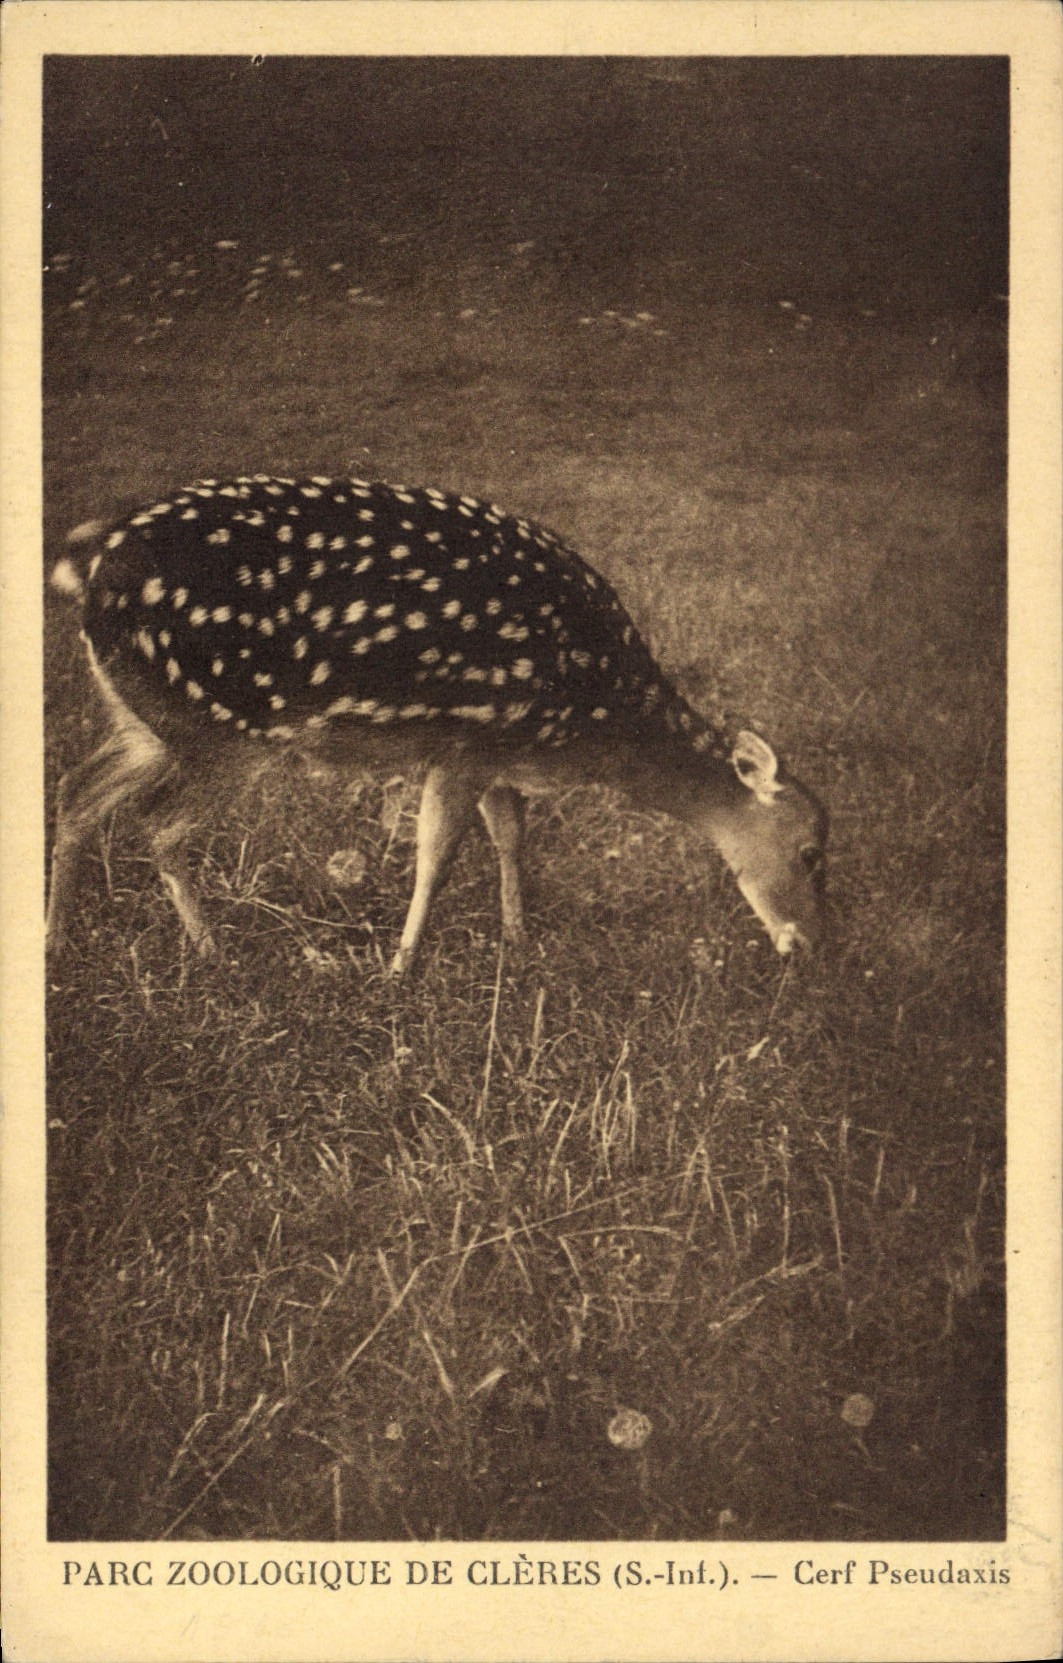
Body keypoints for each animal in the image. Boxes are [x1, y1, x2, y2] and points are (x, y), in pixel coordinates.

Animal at [46, 476, 828, 976]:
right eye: (811, 852)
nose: (809, 946)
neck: (590, 722)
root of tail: (89, 571)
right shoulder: (464, 741)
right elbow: (437, 855)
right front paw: (400, 970)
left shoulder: (501, 750)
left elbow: (510, 834)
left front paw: (518, 935)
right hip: (223, 725)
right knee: (158, 821)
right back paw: (213, 952)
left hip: (147, 720)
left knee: (76, 790)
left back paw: (55, 941)